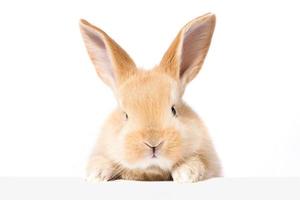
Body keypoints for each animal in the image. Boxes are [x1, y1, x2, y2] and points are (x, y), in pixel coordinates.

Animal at [79, 11, 220, 182]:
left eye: (174, 110)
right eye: (125, 115)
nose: (153, 143)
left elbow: (198, 161)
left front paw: (186, 174)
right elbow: (101, 160)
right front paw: (96, 175)